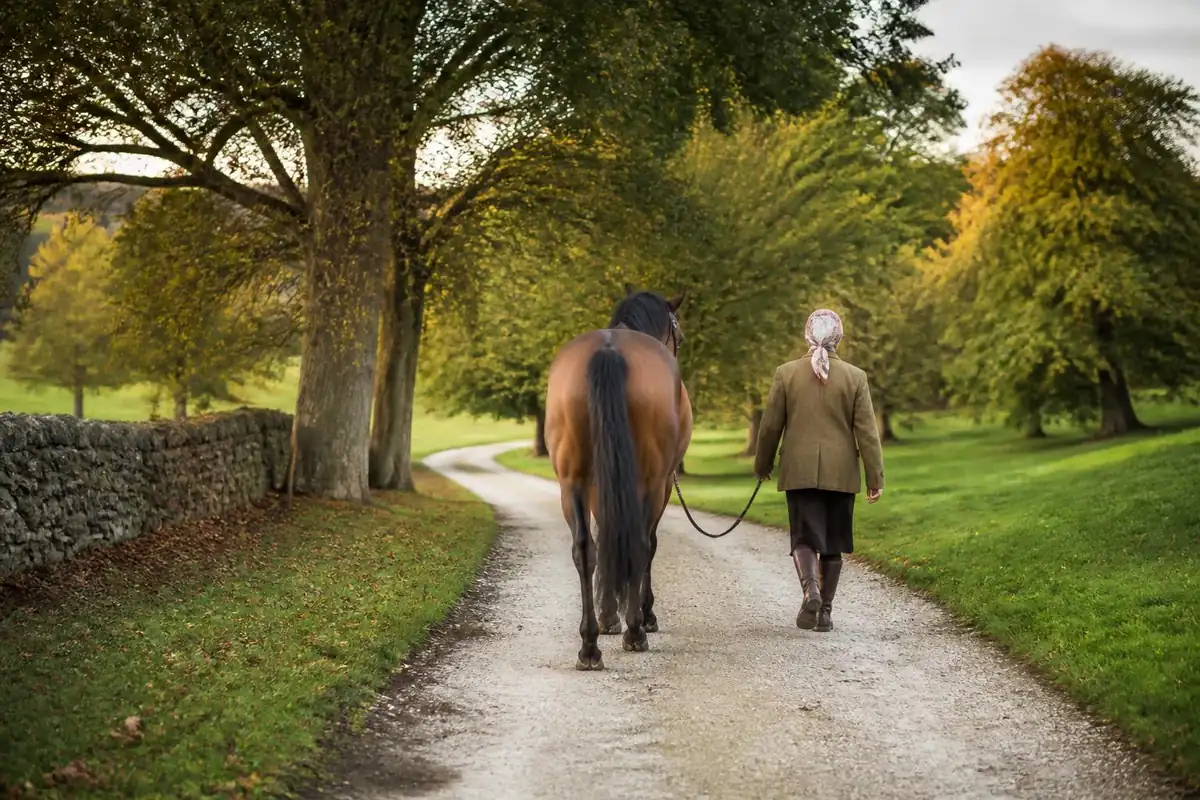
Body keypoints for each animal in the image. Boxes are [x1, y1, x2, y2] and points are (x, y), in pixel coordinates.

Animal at [543, 285, 693, 671]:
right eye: (679, 335)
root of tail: (608, 351)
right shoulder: (661, 484)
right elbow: (647, 544)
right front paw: (641, 616)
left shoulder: (599, 486)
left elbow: (605, 535)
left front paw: (608, 616)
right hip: (652, 481)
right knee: (640, 543)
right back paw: (635, 631)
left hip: (572, 481)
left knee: (585, 549)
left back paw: (589, 646)